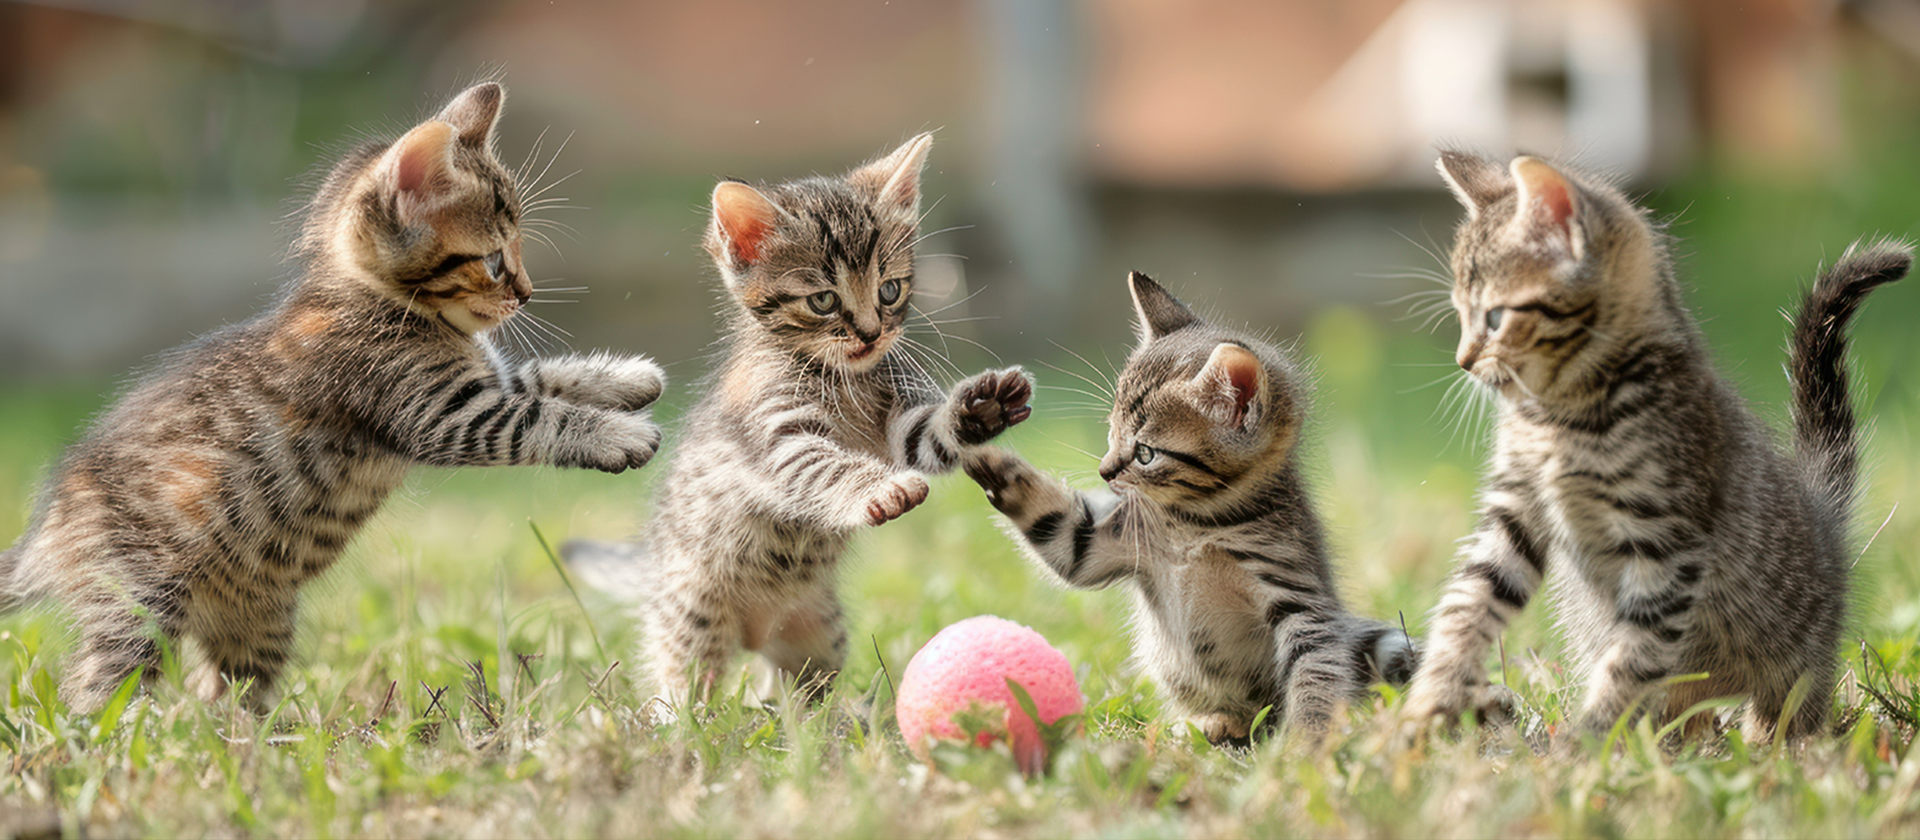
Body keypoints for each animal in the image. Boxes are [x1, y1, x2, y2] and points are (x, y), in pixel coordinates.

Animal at [0, 81, 672, 713]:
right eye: (493, 261)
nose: (527, 292)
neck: (372, 301)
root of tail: (49, 527)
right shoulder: (441, 410)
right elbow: (538, 416)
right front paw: (620, 435)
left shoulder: (481, 384)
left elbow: (543, 379)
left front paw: (629, 380)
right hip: (141, 599)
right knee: (95, 687)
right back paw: (122, 733)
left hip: (259, 616)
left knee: (222, 692)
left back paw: (252, 739)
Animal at [560, 134, 1036, 705]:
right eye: (823, 300)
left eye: (890, 290)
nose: (871, 334)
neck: (844, 379)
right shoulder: (778, 436)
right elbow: (825, 466)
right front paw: (883, 490)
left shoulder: (901, 424)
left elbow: (930, 437)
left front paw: (982, 408)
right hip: (690, 617)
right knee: (682, 682)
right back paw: (678, 717)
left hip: (818, 636)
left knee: (791, 692)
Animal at [967, 272, 1420, 744]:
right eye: (1111, 432)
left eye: (1145, 453)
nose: (1105, 471)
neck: (1197, 523)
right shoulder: (1105, 544)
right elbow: (1060, 533)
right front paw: (990, 462)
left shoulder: (1301, 600)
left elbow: (1317, 670)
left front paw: (1306, 743)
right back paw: (1214, 721)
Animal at [1405, 150, 1912, 740]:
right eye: (1461, 314)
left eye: (1494, 317)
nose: (1463, 360)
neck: (1560, 415)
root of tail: (1820, 515)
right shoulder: (1515, 513)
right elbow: (1469, 599)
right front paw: (1430, 698)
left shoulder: (1668, 545)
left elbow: (1634, 658)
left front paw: (1586, 743)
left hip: (1800, 664)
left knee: (1786, 709)